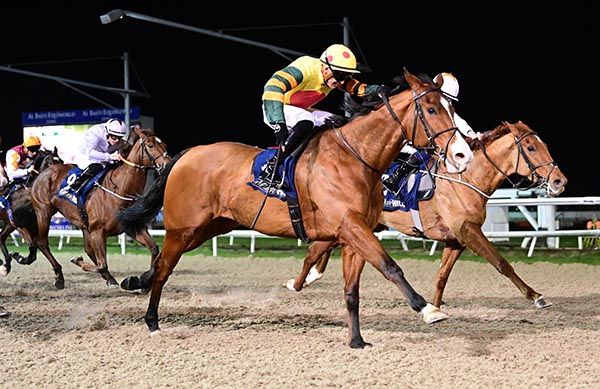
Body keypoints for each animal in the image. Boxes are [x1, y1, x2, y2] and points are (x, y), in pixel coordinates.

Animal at [0, 146, 62, 276]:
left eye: (61, 161)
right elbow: (34, 245)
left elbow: (36, 249)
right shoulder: (19, 224)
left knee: (1, 237)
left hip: (8, 224)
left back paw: (6, 264)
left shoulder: (32, 224)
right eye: (50, 162)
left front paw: (18, 257)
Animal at [17, 127, 171, 288]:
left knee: (88, 249)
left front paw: (143, 281)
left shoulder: (131, 227)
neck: (119, 190)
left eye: (164, 144)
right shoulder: (98, 232)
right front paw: (77, 261)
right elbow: (102, 264)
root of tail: (44, 172)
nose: (168, 164)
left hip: (82, 223)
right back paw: (59, 276)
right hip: (43, 212)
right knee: (42, 243)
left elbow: (155, 249)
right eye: (150, 145)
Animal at [116, 68, 474, 348]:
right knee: (164, 268)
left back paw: (135, 282)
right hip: (183, 227)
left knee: (160, 263)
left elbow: (352, 289)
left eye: (451, 108)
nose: (463, 155)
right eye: (431, 109)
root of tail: (187, 154)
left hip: (209, 227)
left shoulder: (354, 234)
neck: (355, 156)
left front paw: (356, 340)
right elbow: (391, 267)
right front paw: (427, 308)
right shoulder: (351, 226)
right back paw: (152, 320)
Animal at [286, 119, 568, 310]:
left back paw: (304, 280)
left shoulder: (457, 240)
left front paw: (435, 306)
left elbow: (442, 276)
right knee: (312, 253)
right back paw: (297, 283)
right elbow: (502, 263)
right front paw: (535, 296)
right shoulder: (469, 231)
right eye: (530, 148)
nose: (559, 181)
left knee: (317, 251)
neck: (466, 179)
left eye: (542, 145)